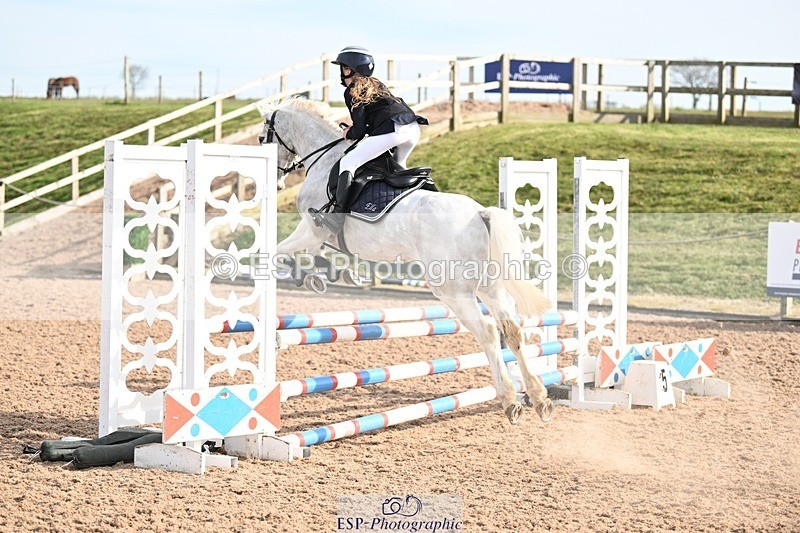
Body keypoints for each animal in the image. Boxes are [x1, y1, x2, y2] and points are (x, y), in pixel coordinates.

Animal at [257, 98, 554, 425]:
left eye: (263, 138)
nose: (276, 182)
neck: (325, 158)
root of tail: (480, 213)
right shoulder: (318, 234)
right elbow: (311, 253)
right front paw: (329, 273)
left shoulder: (312, 228)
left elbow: (279, 253)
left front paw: (306, 275)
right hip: (491, 288)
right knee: (512, 331)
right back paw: (539, 398)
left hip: (453, 291)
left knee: (488, 332)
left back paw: (510, 400)